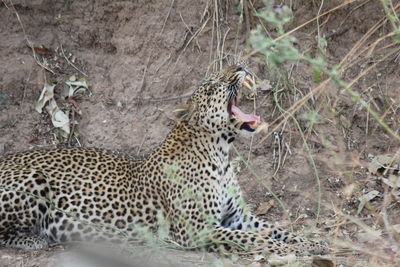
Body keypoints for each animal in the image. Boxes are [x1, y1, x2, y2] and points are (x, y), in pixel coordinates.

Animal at [0, 63, 328, 260]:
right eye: (213, 86)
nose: (240, 66)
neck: (221, 154)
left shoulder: (239, 216)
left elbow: (275, 229)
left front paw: (311, 242)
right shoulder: (198, 229)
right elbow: (256, 239)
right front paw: (291, 249)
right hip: (33, 180)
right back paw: (36, 239)